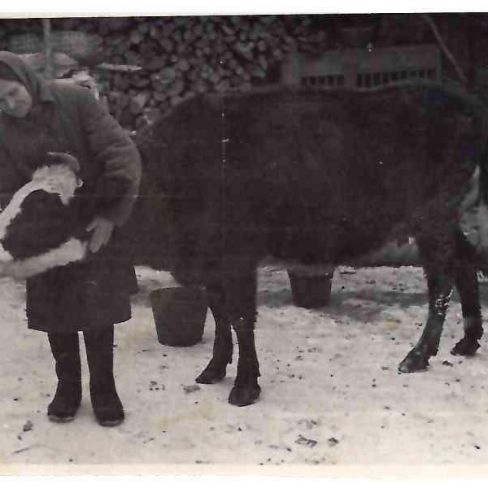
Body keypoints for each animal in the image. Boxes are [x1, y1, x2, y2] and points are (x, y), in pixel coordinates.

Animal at [134, 82, 488, 406]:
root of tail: (460, 102)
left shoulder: (238, 259)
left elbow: (241, 319)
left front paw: (245, 388)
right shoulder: (211, 266)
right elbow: (220, 315)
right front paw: (212, 371)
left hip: (432, 217)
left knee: (441, 281)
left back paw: (417, 356)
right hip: (442, 220)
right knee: (464, 260)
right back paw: (467, 343)